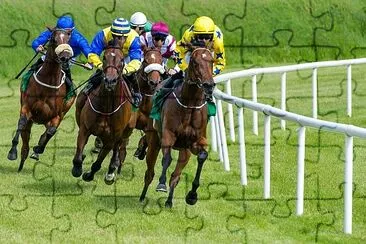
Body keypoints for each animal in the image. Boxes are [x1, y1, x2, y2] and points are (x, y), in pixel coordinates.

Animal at [7, 27, 74, 172]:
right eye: (53, 39)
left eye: (68, 40)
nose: (65, 57)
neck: (48, 82)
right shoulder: (26, 108)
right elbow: (21, 123)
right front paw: (12, 152)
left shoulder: (56, 116)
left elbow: (51, 131)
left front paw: (38, 149)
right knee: (25, 142)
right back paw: (21, 160)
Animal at [71, 39, 132, 183]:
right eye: (104, 57)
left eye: (122, 59)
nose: (110, 80)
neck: (106, 107)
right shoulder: (85, 129)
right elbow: (79, 152)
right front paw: (77, 167)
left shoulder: (111, 138)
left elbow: (98, 162)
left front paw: (89, 175)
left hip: (125, 131)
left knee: (117, 147)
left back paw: (112, 169)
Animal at [139, 46, 216, 207]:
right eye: (195, 62)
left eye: (212, 61)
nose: (209, 85)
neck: (190, 104)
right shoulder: (167, 135)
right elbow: (167, 159)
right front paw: (161, 184)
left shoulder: (194, 143)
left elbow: (202, 156)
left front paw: (192, 195)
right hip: (154, 139)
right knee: (150, 171)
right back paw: (143, 196)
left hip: (184, 151)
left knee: (176, 175)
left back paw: (169, 201)